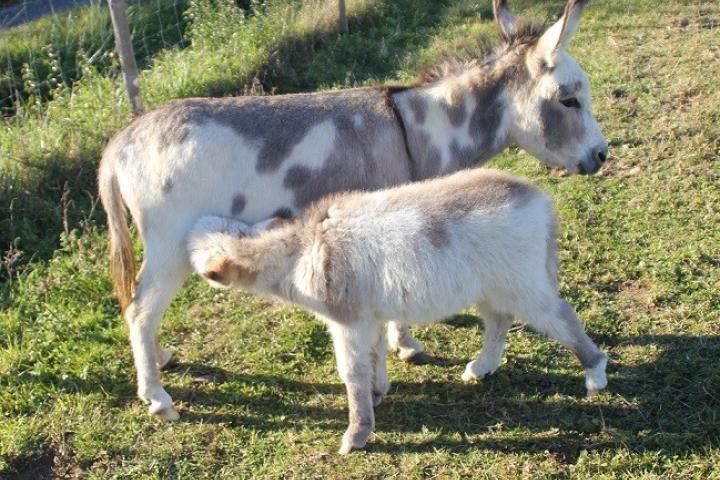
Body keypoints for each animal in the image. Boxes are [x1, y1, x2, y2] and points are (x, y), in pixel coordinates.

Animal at [187, 169, 608, 454]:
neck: (299, 251)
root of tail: (539, 200)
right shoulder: (370, 318)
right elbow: (374, 358)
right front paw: (378, 393)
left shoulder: (349, 321)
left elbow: (351, 372)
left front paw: (356, 434)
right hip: (492, 287)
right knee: (498, 321)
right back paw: (480, 367)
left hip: (523, 284)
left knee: (562, 317)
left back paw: (595, 373)